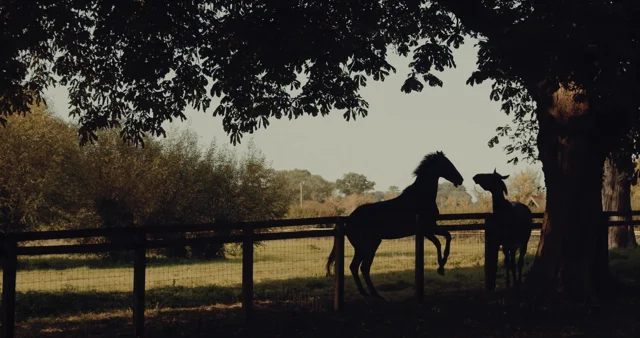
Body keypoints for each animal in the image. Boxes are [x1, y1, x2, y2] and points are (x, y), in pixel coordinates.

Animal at [328, 151, 462, 298]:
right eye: (447, 163)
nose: (460, 179)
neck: (420, 197)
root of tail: (349, 219)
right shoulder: (427, 229)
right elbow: (440, 242)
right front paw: (441, 266)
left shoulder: (430, 228)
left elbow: (447, 237)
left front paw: (441, 267)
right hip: (368, 245)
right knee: (362, 267)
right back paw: (375, 295)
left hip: (363, 247)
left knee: (356, 267)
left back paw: (369, 294)